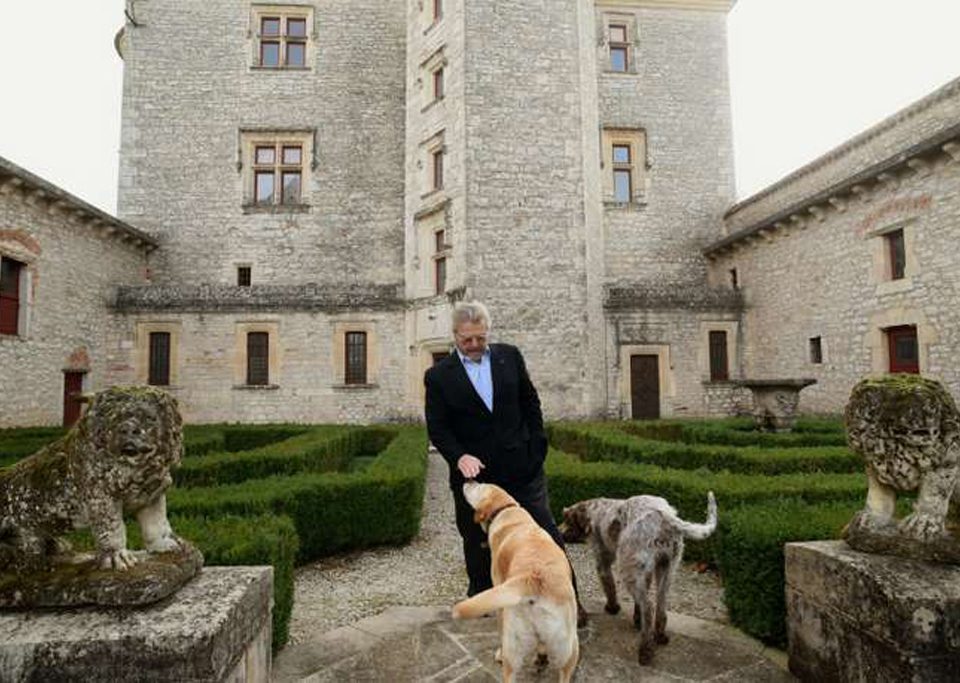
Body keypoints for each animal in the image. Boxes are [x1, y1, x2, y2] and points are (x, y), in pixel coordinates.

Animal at [452, 480, 576, 683]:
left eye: (480, 486)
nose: (469, 480)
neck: (506, 510)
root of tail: (534, 578)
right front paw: (541, 655)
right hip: (567, 649)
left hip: (520, 645)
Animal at [564, 494, 712, 664]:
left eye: (567, 521)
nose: (559, 532)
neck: (594, 510)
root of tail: (665, 516)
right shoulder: (643, 572)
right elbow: (637, 600)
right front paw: (636, 618)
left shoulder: (603, 562)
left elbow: (610, 587)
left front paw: (613, 608)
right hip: (666, 569)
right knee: (660, 605)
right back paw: (660, 636)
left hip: (627, 570)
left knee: (648, 608)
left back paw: (645, 650)